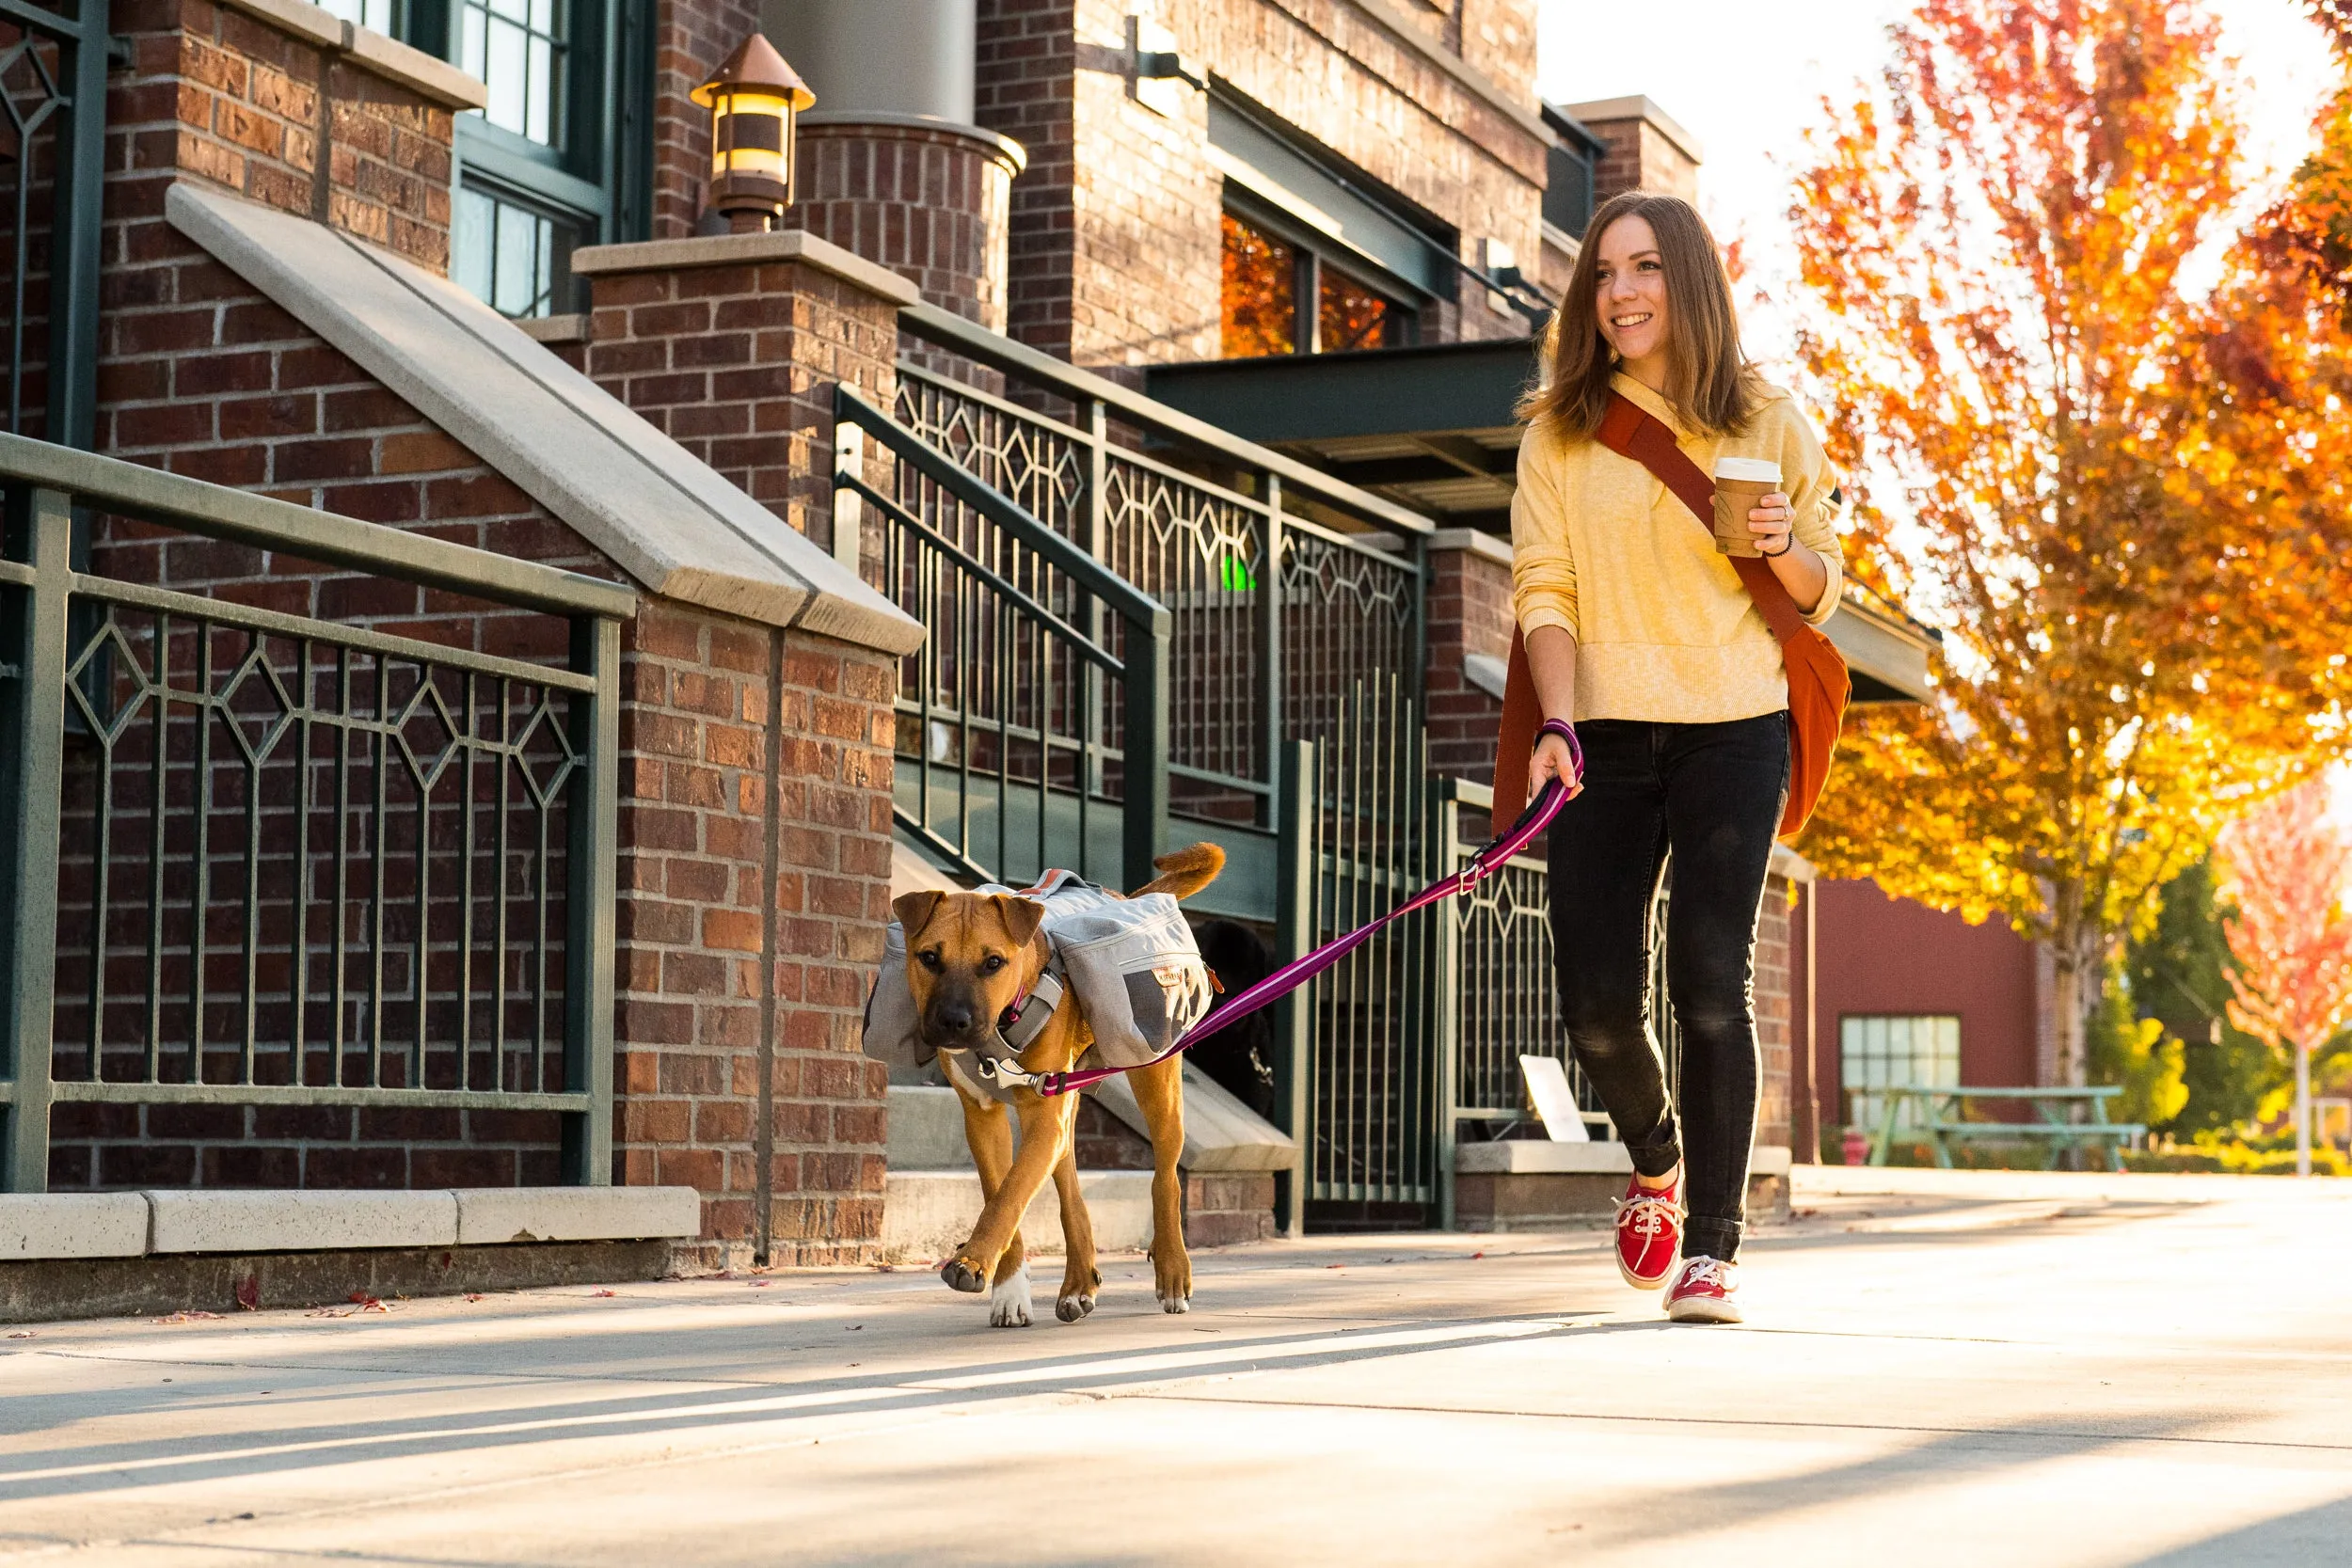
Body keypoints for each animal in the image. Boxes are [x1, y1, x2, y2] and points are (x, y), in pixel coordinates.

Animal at [884, 850, 1232, 1335]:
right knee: (1070, 1187)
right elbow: (1001, 1190)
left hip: (1156, 1082)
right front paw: (1009, 1292)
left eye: (993, 963)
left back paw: (1172, 1269)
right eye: (929, 958)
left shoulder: (1042, 1113)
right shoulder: (985, 1117)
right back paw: (1078, 1282)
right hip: (1066, 1103)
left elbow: (1010, 1195)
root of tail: (1124, 897)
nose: (953, 1021)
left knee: (1166, 1178)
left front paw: (972, 1262)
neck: (1001, 1030)